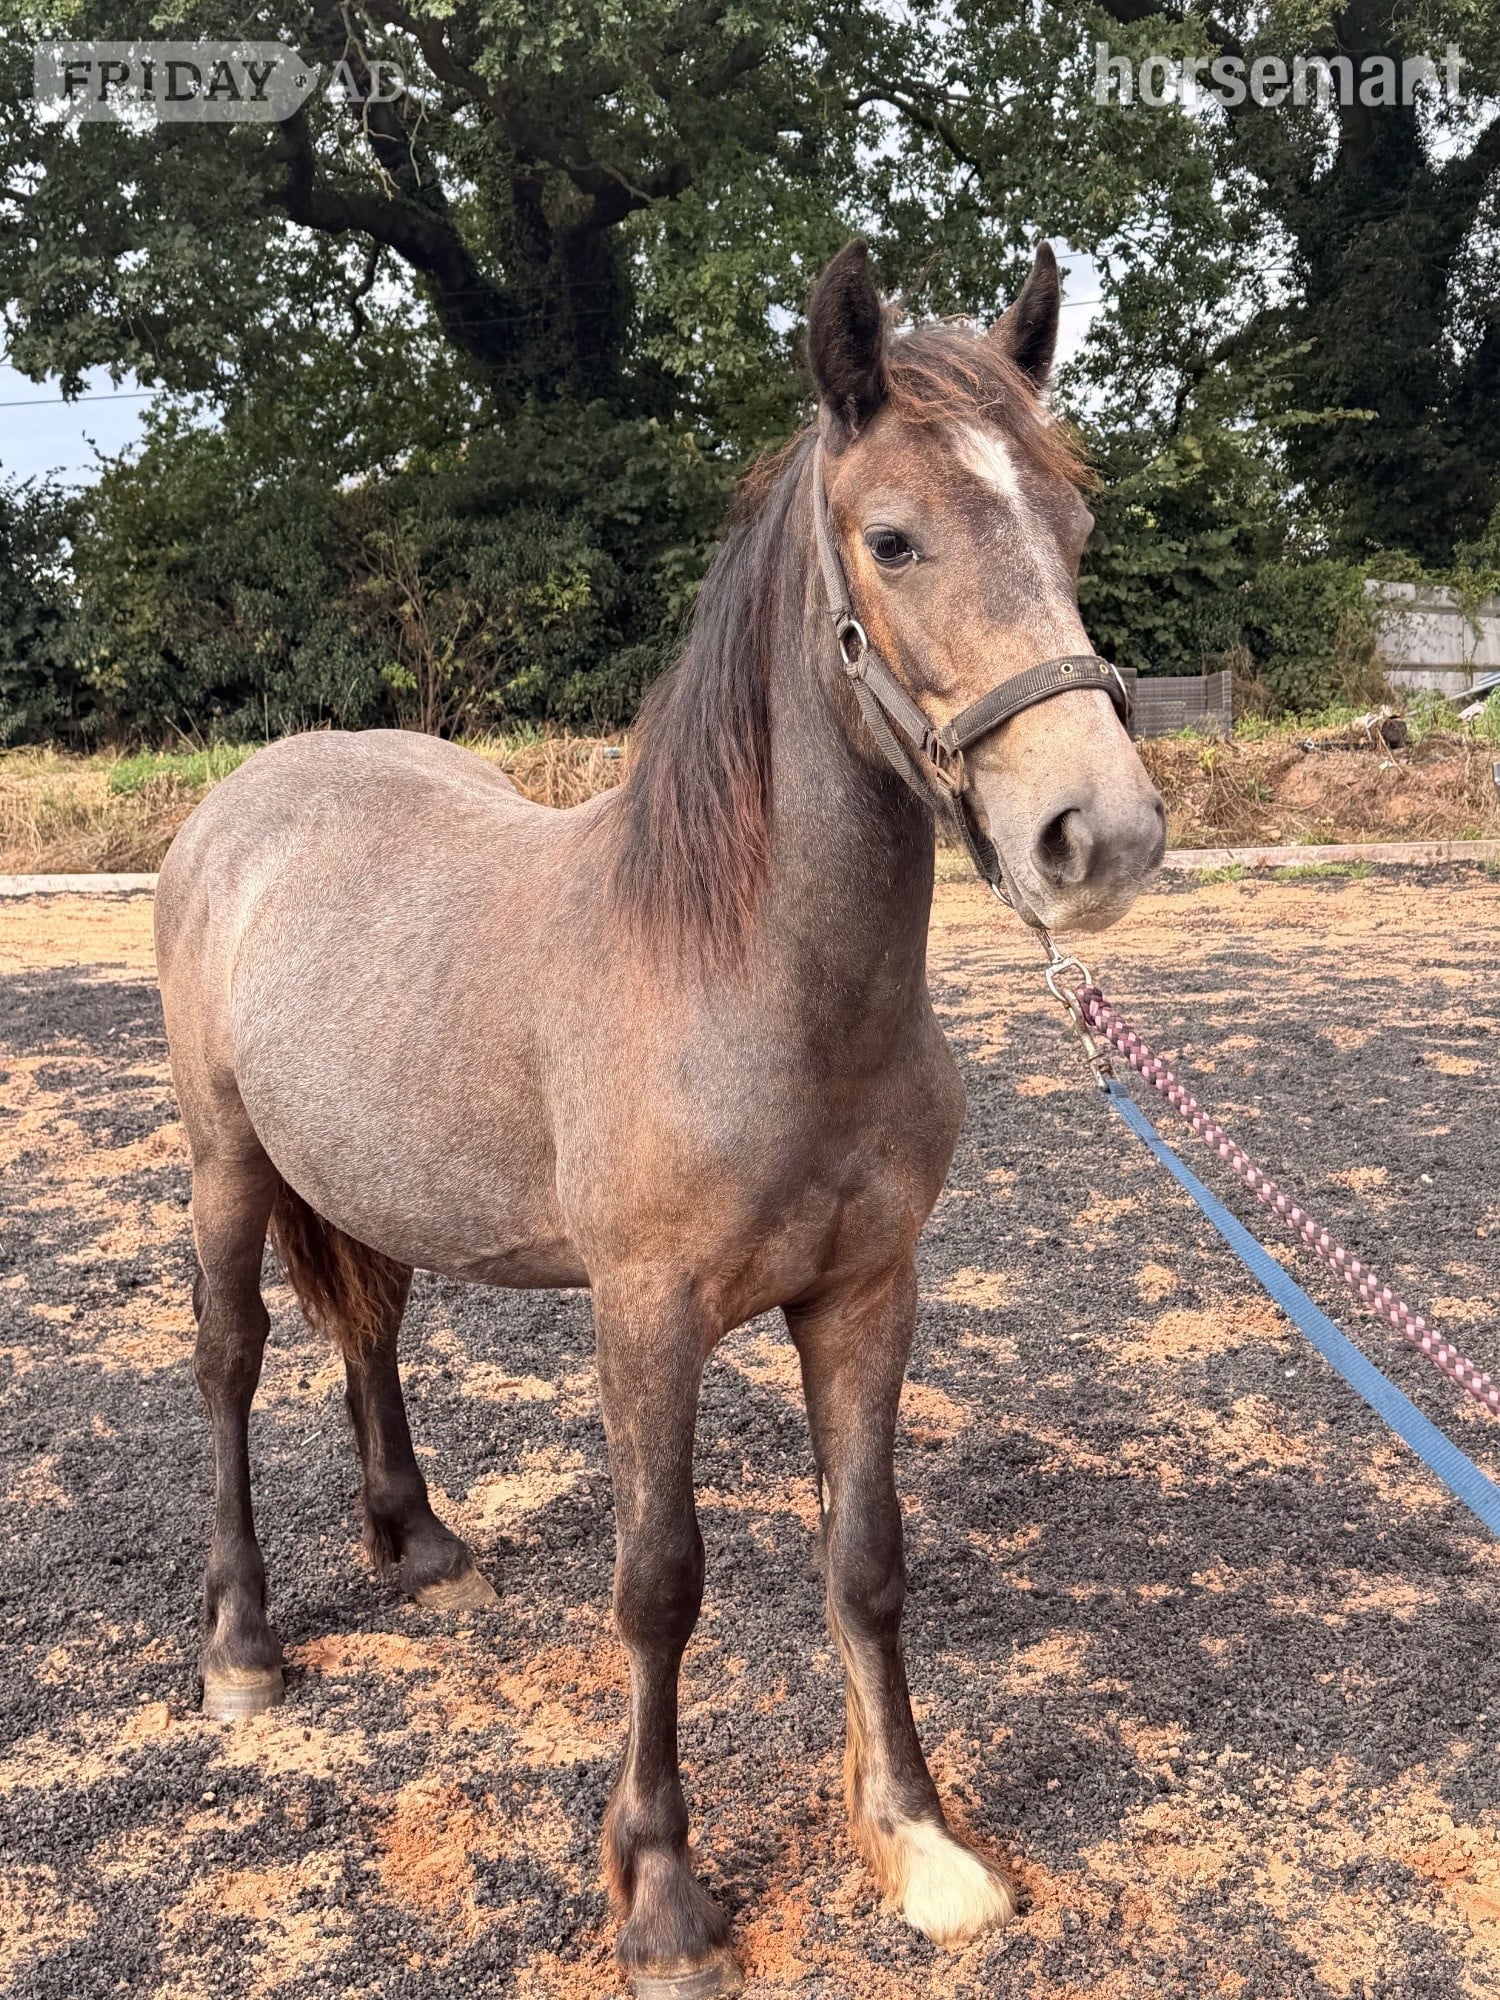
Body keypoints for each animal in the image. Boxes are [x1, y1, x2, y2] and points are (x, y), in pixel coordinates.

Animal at [154, 239, 1166, 1996]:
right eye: (893, 538)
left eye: (1075, 525)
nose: (1094, 836)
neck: (749, 980)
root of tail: (243, 802)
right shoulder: (646, 1316)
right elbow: (660, 1586)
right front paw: (665, 1893)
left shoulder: (866, 1298)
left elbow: (867, 1558)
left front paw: (919, 1845)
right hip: (227, 1166)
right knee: (229, 1365)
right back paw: (245, 1649)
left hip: (363, 1177)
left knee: (370, 1330)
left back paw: (420, 1545)